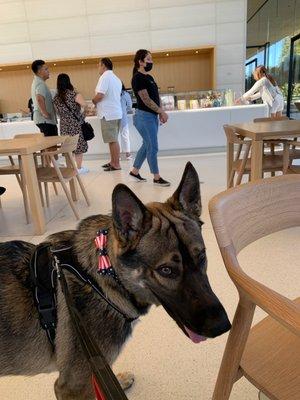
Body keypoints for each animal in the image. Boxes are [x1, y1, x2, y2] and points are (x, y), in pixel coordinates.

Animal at [0, 162, 231, 396]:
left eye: (201, 257)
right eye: (166, 270)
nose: (222, 327)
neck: (100, 280)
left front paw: (117, 380)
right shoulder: (72, 386)